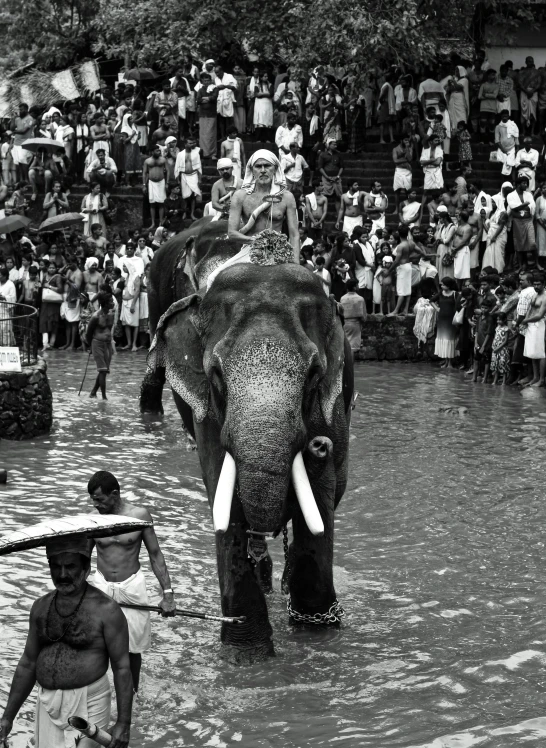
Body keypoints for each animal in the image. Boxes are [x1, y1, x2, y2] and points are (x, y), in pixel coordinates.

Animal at [140, 218, 352, 656]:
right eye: (217, 375)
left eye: (314, 374)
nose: (318, 447)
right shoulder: (207, 413)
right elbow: (223, 498)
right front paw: (247, 655)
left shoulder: (333, 405)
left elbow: (321, 500)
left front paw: (317, 633)